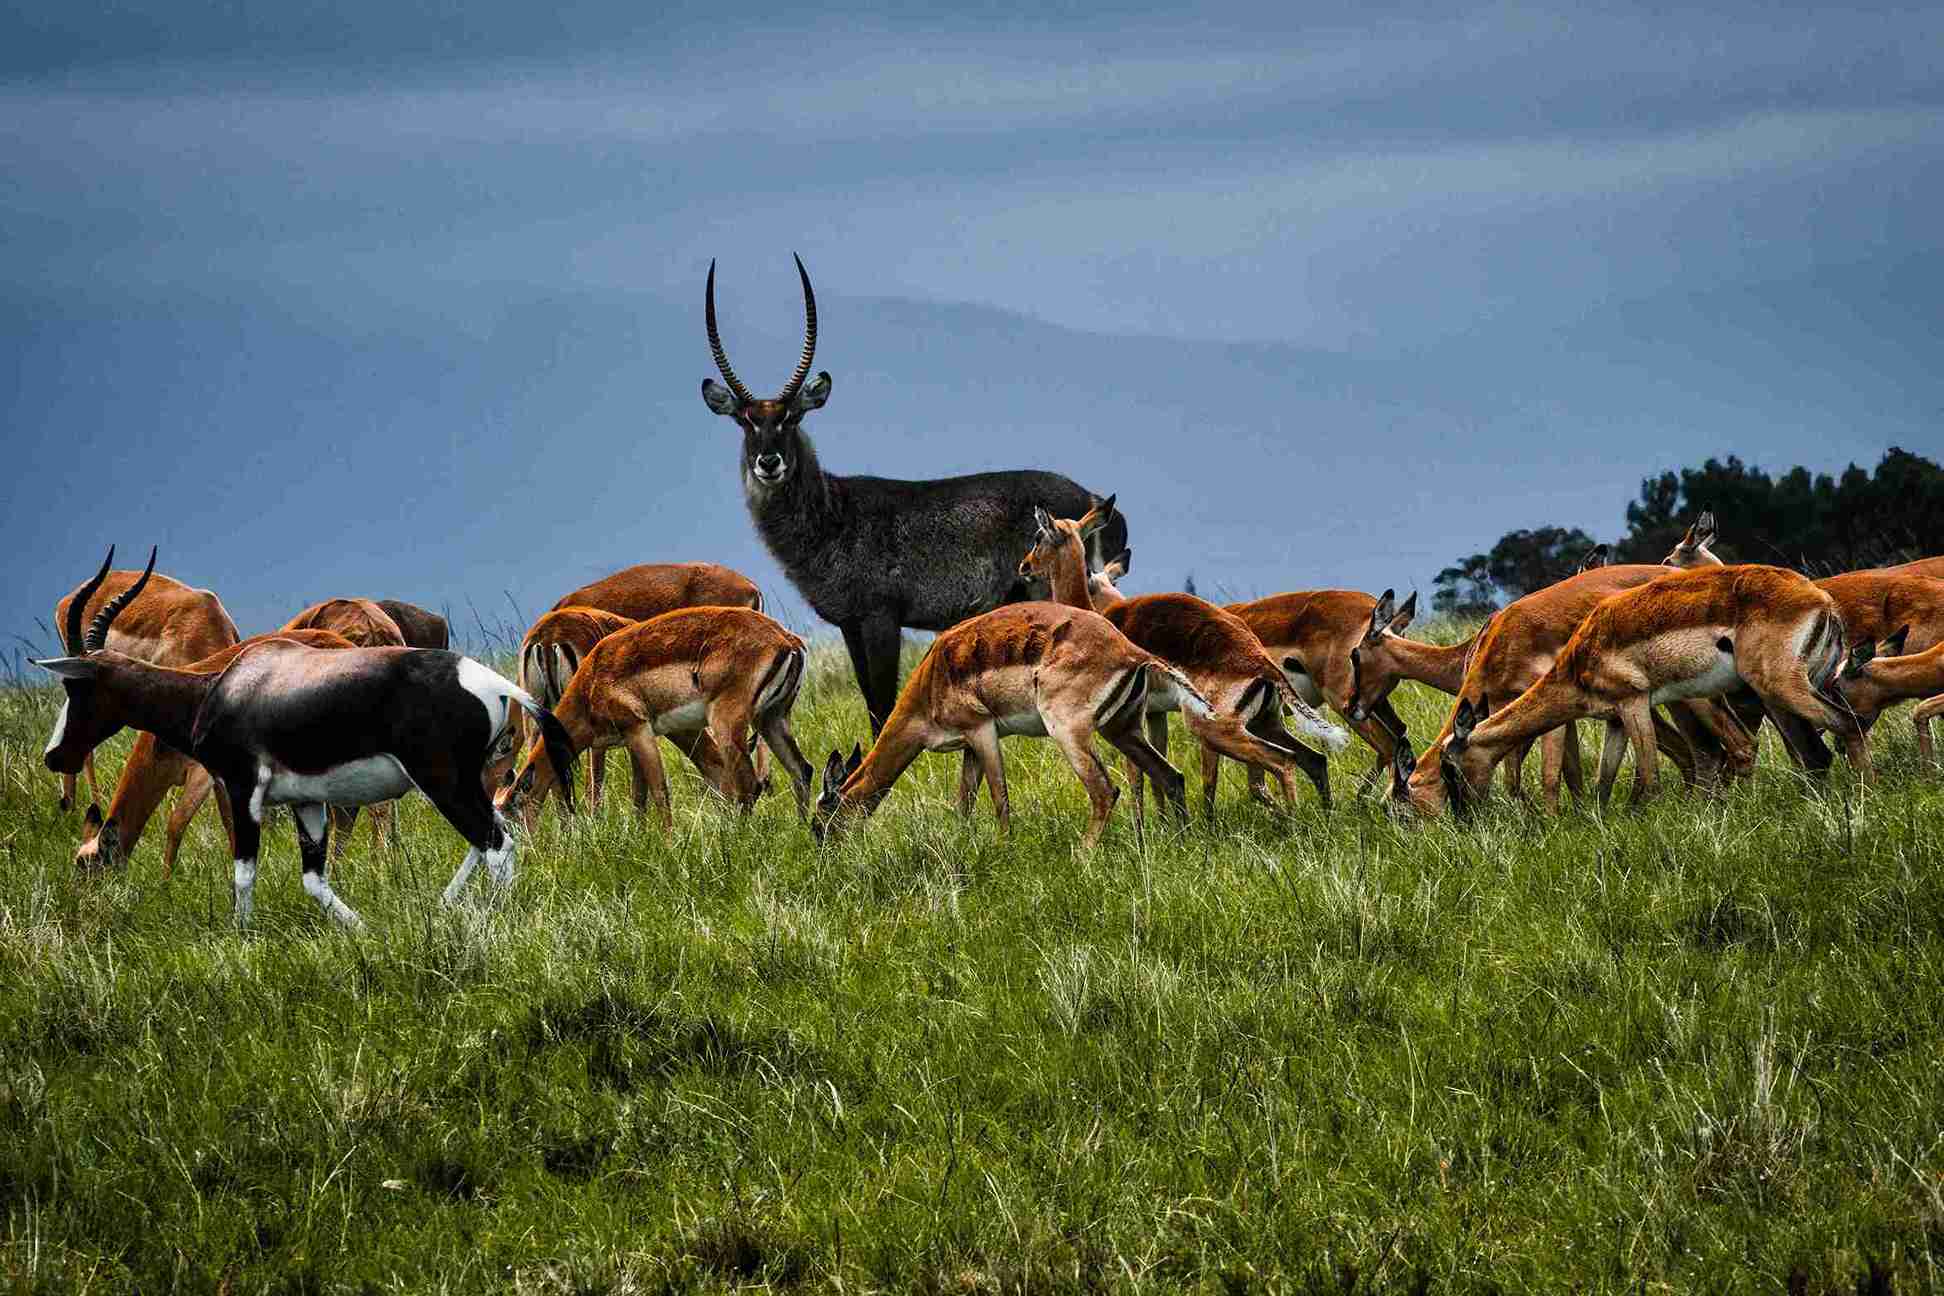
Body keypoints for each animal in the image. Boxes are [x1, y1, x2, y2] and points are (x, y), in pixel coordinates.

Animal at [496, 607, 813, 829]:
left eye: (511, 814)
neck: (592, 680)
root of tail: (788, 641)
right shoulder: (632, 739)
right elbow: (641, 795)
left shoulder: (639, 731)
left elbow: (659, 792)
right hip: (772, 719)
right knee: (802, 770)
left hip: (727, 722)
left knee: (749, 784)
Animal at [700, 256, 1126, 739]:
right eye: (744, 420)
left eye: (792, 417)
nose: (769, 462)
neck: (832, 516)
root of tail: (1094, 497)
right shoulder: (850, 624)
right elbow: (869, 700)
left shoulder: (881, 617)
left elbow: (882, 704)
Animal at [811, 602, 1201, 849]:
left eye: (820, 820)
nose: (827, 857)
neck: (930, 681)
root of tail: (1132, 652)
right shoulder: (968, 746)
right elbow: (964, 804)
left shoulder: (982, 732)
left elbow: (1000, 800)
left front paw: (1003, 850)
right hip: (1122, 730)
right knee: (1171, 777)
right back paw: (1184, 844)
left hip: (1069, 732)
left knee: (1105, 791)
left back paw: (1082, 856)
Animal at [1016, 500, 1349, 820]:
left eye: (1038, 536)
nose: (1025, 565)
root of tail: (1263, 666)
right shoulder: (1155, 713)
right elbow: (1157, 776)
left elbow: (1137, 778)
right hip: (1264, 723)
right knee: (1313, 760)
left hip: (1215, 729)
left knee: (1282, 762)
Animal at [1391, 564, 1858, 818]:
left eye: (1450, 767)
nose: (1464, 817)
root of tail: (1821, 599)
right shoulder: (1613, 718)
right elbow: (1603, 783)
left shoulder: (1633, 704)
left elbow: (1643, 782)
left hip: (1763, 689)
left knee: (1823, 731)